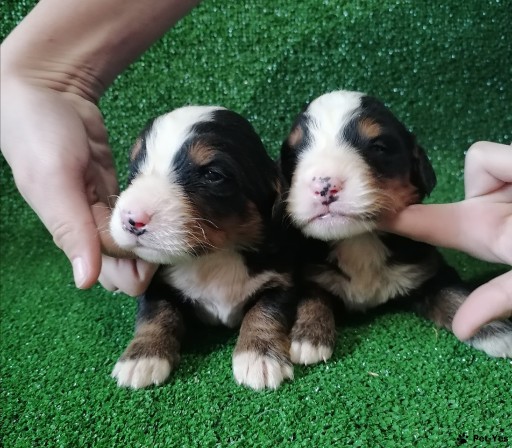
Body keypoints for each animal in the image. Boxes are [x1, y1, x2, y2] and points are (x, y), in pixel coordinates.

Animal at [109, 105, 295, 390]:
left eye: (212, 175)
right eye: (134, 169)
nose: (132, 219)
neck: (212, 258)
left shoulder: (281, 279)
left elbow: (265, 311)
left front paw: (260, 356)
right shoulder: (157, 282)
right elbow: (155, 313)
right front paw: (142, 358)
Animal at [278, 90, 512, 363]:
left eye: (378, 147)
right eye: (293, 156)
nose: (324, 185)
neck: (359, 240)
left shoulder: (427, 270)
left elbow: (455, 294)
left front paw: (495, 330)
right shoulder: (310, 272)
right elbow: (312, 295)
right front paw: (309, 336)